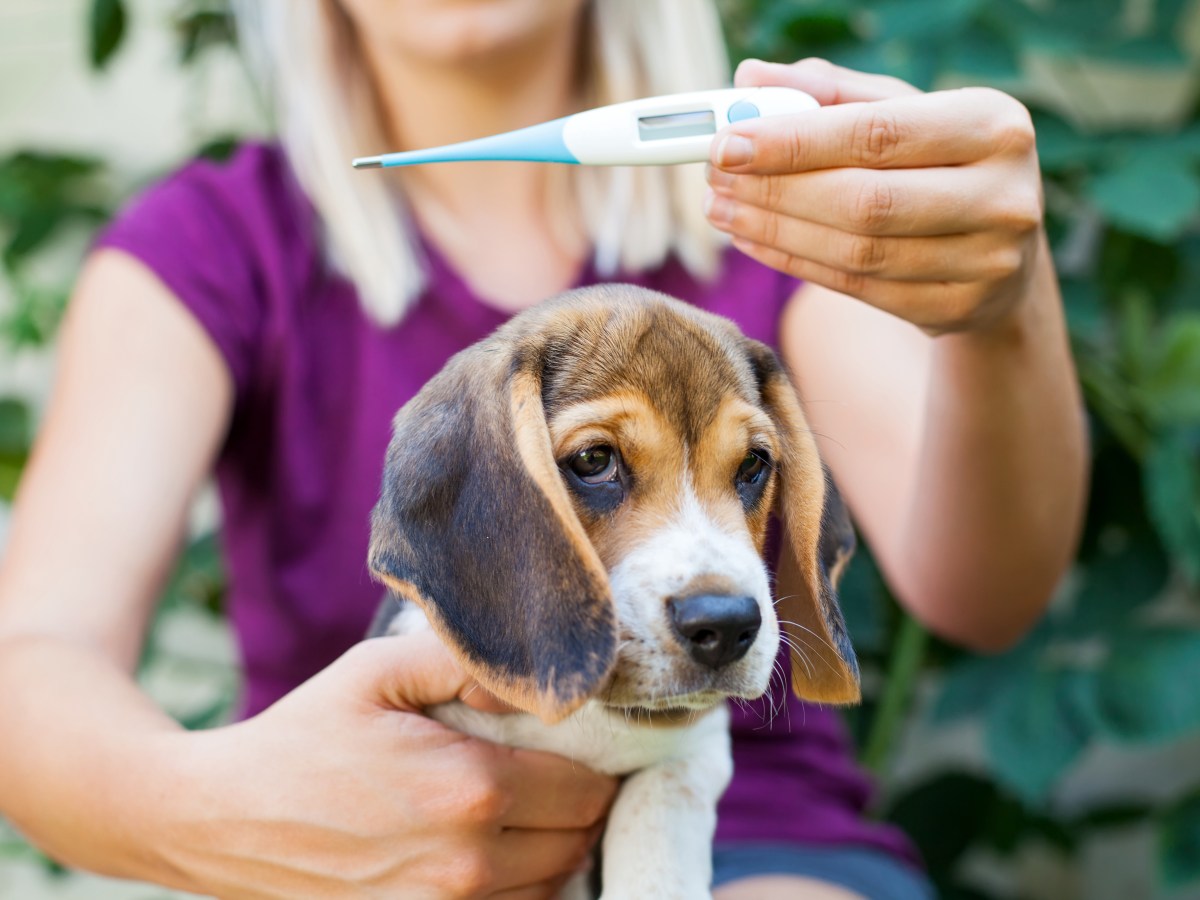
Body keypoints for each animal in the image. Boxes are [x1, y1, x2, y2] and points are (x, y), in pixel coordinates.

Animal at [367, 286, 864, 900]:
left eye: (753, 464)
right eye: (594, 461)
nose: (727, 625)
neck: (587, 722)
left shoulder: (695, 745)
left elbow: (661, 805)